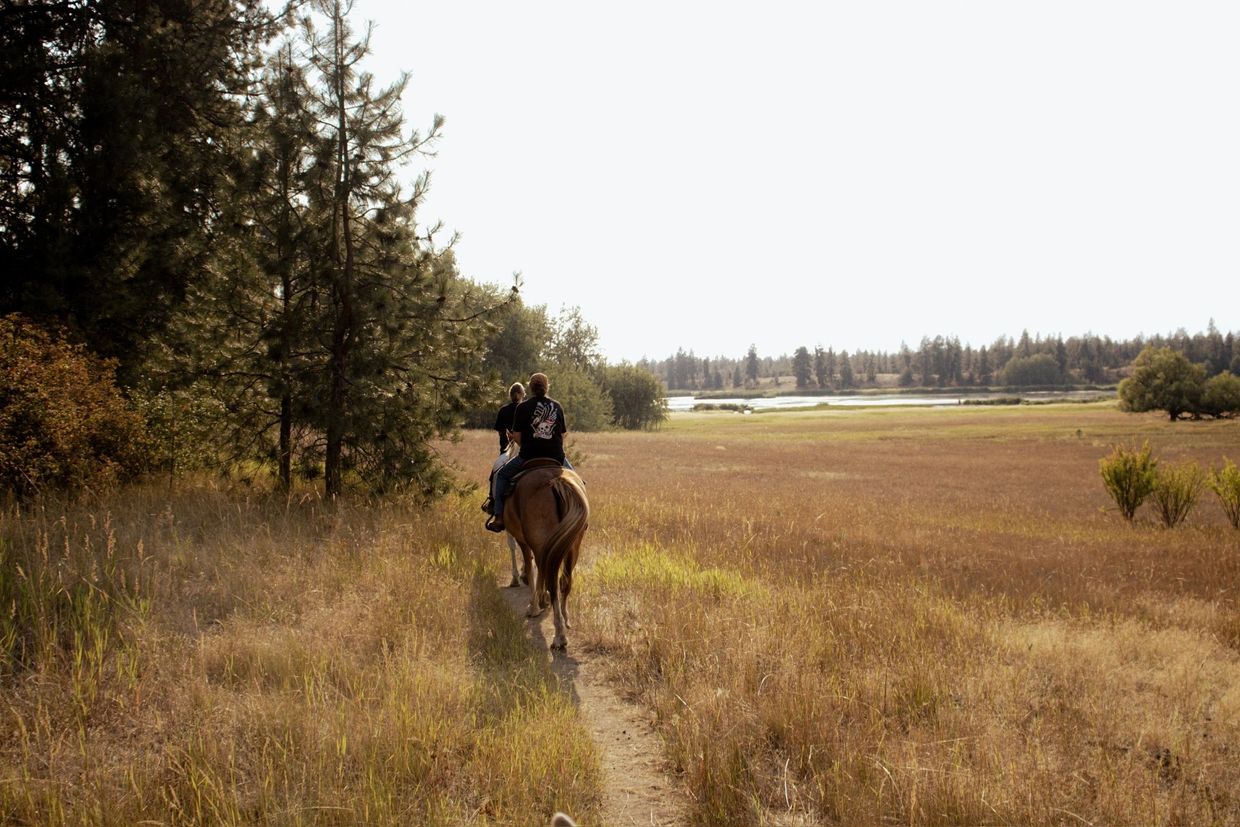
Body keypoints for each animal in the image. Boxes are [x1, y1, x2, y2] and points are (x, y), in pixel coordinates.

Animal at [503, 461, 589, 651]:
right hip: (573, 544)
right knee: (565, 580)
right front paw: (540, 600)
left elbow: (529, 565)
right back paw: (564, 618)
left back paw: (559, 636)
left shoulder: (523, 540)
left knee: (552, 582)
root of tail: (557, 482)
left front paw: (534, 604)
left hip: (543, 540)